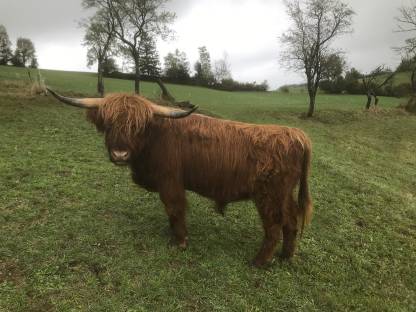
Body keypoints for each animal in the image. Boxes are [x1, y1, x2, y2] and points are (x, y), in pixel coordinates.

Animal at [47, 89, 312, 266]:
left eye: (138, 126)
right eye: (109, 124)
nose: (120, 154)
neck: (155, 138)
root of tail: (296, 134)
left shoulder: (170, 182)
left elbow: (174, 208)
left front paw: (180, 241)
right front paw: (171, 233)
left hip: (269, 196)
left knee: (274, 227)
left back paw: (259, 261)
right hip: (284, 194)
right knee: (291, 221)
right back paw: (286, 256)